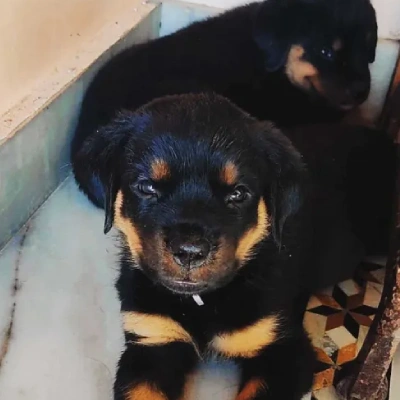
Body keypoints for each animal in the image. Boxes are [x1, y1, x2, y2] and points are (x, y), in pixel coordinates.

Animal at [72, 92, 316, 398]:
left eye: (238, 193)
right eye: (147, 187)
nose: (189, 252)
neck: (200, 303)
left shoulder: (284, 349)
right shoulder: (150, 342)